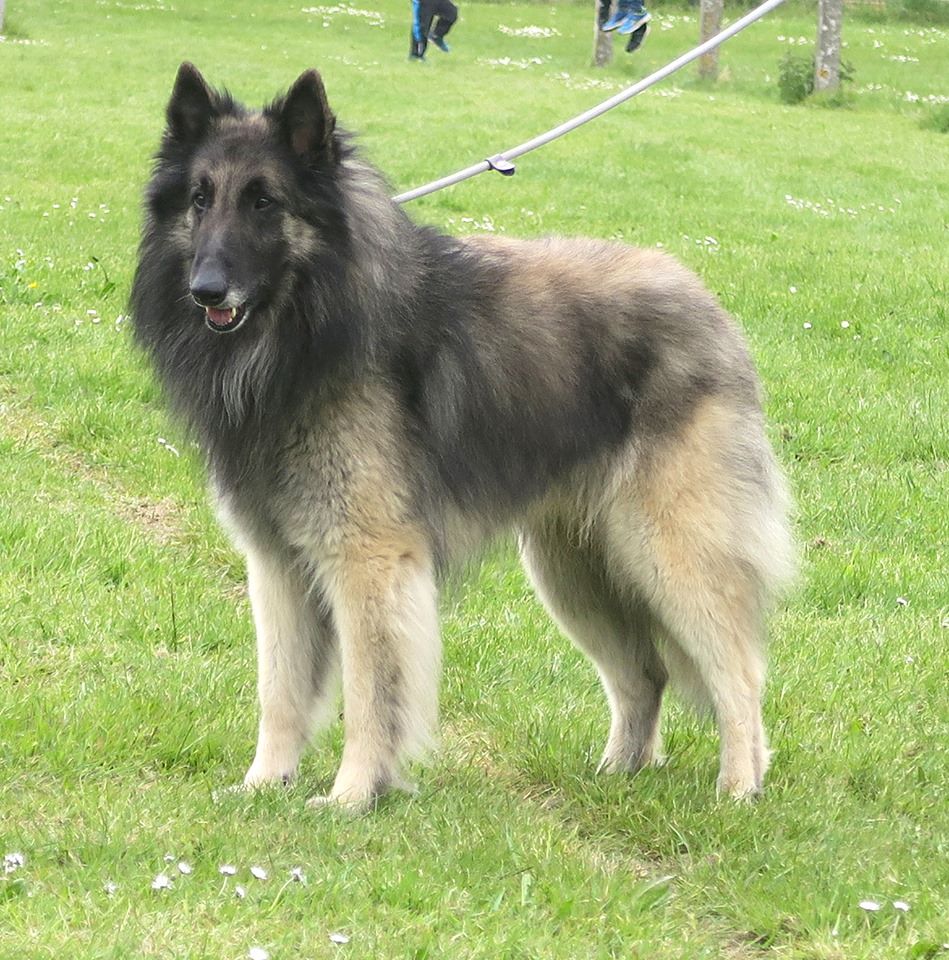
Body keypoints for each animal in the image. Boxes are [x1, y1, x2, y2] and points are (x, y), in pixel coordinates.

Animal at [131, 63, 795, 810]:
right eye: (200, 199)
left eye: (264, 203)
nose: (206, 289)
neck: (311, 319)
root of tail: (708, 307)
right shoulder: (277, 565)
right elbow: (280, 692)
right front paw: (263, 785)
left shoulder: (368, 561)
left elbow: (369, 696)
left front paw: (352, 797)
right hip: (575, 571)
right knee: (643, 674)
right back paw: (616, 773)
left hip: (670, 553)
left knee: (738, 674)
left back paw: (738, 788)